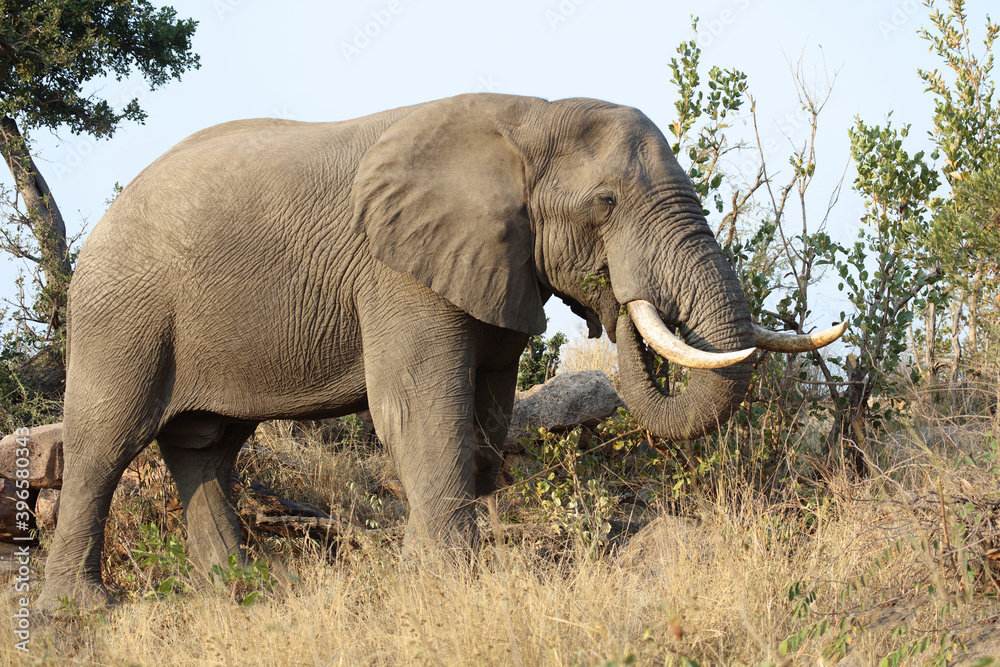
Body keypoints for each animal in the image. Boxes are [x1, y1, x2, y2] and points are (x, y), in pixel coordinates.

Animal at [37, 93, 843, 609]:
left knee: (206, 445)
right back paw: (83, 610)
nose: (613, 303)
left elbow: (485, 401)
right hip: (121, 312)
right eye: (605, 204)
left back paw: (243, 590)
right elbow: (421, 409)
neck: (528, 117)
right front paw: (449, 578)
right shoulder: (398, 270)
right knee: (106, 441)